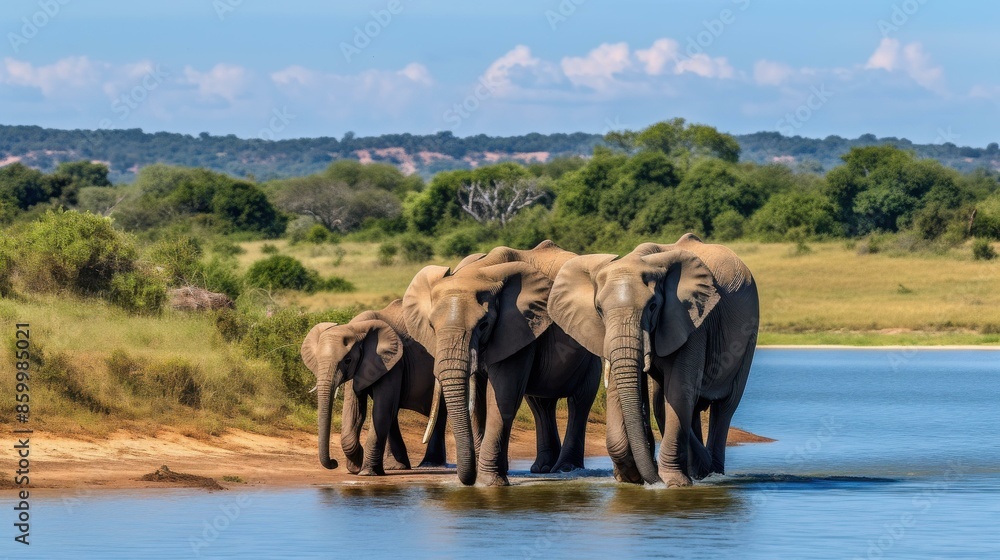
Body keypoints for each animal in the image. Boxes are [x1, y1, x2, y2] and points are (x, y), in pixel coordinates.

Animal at [300, 299, 448, 476]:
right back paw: (400, 466)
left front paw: (365, 472)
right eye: (316, 360)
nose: (334, 462)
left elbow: (380, 410)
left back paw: (431, 465)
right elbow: (355, 409)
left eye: (348, 360)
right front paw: (355, 466)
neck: (356, 329)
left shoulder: (393, 362)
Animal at [403, 241, 602, 487]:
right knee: (540, 404)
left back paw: (566, 468)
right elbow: (479, 397)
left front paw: (489, 483)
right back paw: (543, 468)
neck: (478, 273)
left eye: (483, 325)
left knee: (580, 400)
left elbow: (503, 395)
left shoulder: (520, 325)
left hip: (589, 339)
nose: (467, 478)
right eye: (431, 325)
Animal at [549, 233, 758, 487]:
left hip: (749, 334)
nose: (653, 478)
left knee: (725, 406)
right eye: (599, 309)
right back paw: (698, 471)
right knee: (672, 403)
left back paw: (711, 473)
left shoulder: (690, 320)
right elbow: (620, 389)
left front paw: (674, 483)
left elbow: (678, 390)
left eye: (653, 306)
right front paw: (629, 479)